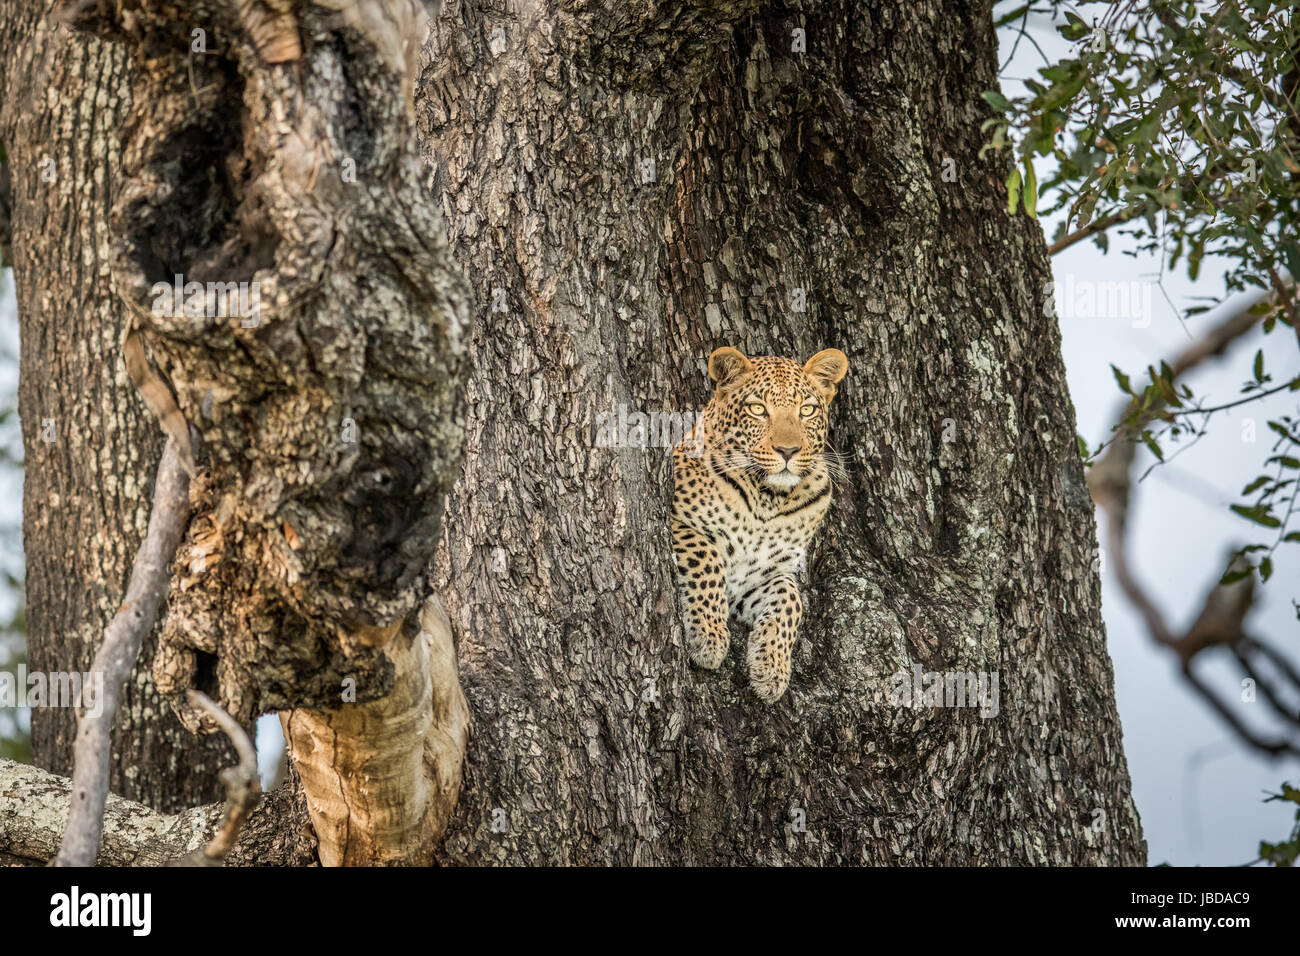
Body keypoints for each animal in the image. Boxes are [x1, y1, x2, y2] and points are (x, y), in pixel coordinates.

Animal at [671, 345, 849, 702]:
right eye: (757, 409)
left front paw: (771, 670)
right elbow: (707, 561)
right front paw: (709, 638)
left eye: (807, 410)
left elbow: (791, 601)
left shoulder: (764, 574)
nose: (788, 450)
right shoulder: (678, 520)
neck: (768, 500)